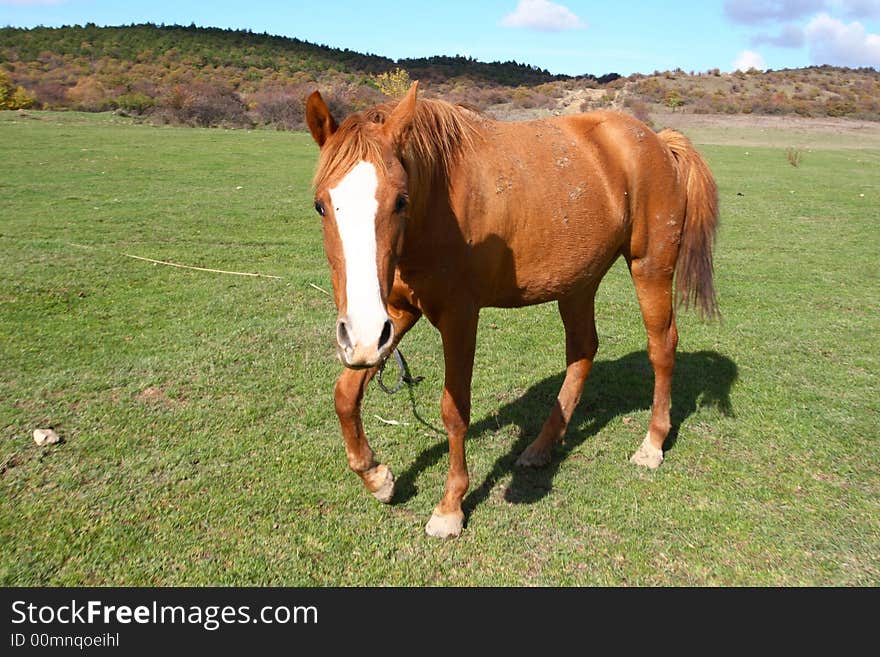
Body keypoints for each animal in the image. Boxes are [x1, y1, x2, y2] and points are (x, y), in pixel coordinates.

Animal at [306, 83, 720, 540]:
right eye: (321, 205)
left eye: (400, 201)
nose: (359, 333)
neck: (437, 201)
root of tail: (656, 140)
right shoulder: (391, 315)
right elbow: (345, 394)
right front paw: (377, 477)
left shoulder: (457, 318)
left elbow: (454, 411)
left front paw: (450, 507)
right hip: (579, 281)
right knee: (583, 351)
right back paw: (541, 447)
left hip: (650, 267)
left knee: (661, 348)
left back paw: (652, 443)